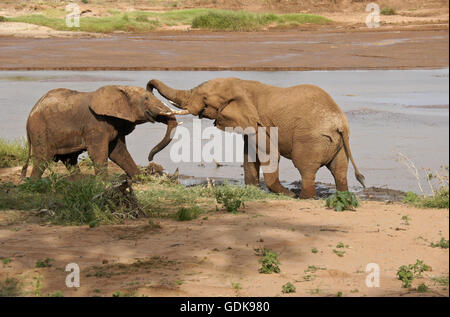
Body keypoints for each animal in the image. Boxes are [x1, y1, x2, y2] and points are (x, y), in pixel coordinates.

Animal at [20, 84, 179, 179]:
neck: (121, 88)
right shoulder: (96, 123)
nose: (149, 158)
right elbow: (99, 152)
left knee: (69, 159)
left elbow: (118, 152)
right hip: (39, 129)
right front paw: (104, 184)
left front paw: (139, 179)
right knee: (43, 159)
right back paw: (35, 183)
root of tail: (30, 114)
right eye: (146, 98)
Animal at [148, 77, 366, 198]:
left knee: (306, 168)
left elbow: (270, 154)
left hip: (312, 139)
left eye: (204, 99)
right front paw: (252, 189)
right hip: (338, 143)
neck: (243, 85)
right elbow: (249, 155)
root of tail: (339, 124)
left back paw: (304, 198)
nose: (149, 88)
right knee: (339, 170)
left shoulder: (261, 124)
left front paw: (287, 194)